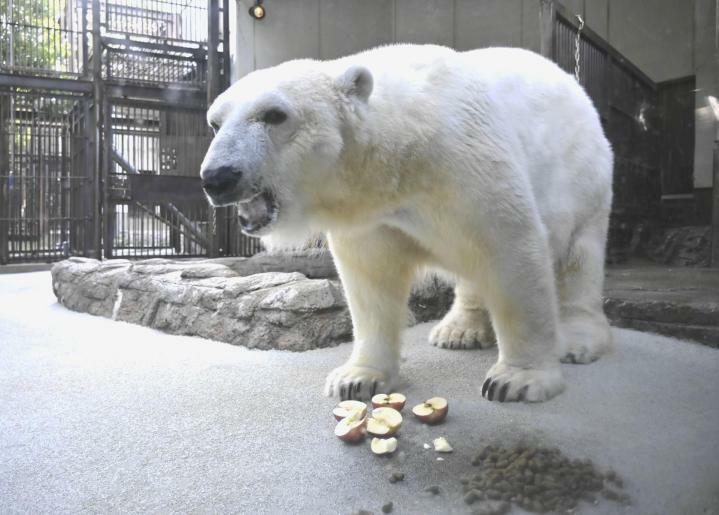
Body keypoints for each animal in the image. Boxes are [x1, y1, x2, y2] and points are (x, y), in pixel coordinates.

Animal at [201, 45, 612, 404]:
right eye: (215, 122)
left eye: (274, 114)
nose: (218, 177)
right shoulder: (371, 216)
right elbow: (370, 280)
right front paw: (356, 377)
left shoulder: (467, 166)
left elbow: (512, 251)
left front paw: (518, 380)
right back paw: (456, 330)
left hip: (584, 181)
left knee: (580, 260)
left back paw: (577, 341)